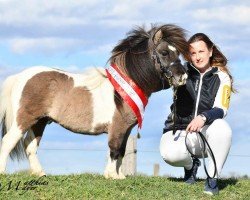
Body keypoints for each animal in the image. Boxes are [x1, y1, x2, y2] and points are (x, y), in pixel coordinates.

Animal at [0, 24, 188, 179]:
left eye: (177, 53)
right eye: (164, 53)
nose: (183, 77)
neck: (124, 88)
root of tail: (19, 77)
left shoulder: (126, 129)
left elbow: (121, 151)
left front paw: (120, 176)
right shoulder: (117, 127)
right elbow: (114, 149)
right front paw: (111, 176)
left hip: (40, 121)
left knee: (29, 146)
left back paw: (40, 173)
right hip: (24, 119)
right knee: (8, 142)